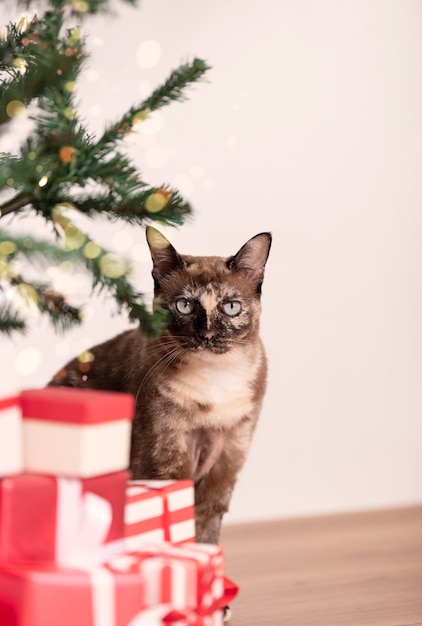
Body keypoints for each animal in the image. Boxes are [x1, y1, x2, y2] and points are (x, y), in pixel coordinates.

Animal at [49, 227, 272, 544]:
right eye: (184, 306)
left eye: (230, 307)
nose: (206, 335)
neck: (214, 382)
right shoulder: (166, 457)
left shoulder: (228, 455)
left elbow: (207, 529)